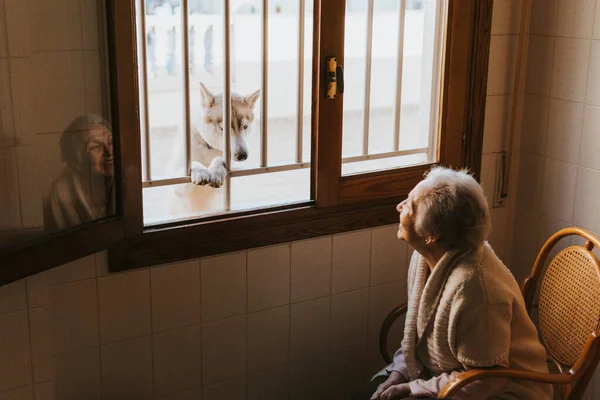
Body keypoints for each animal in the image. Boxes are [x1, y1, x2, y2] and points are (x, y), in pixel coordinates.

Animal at [170, 81, 262, 216]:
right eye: (223, 128)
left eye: (245, 126)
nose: (242, 156)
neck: (208, 148)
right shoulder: (177, 184)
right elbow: (192, 164)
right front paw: (200, 171)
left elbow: (219, 159)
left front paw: (216, 170)